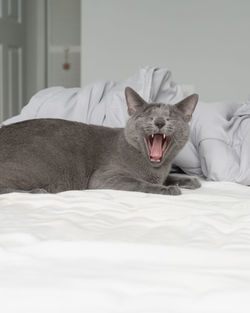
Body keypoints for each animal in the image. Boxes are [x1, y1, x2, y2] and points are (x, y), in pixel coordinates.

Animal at [0, 86, 200, 194]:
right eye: (147, 116)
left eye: (170, 118)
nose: (159, 122)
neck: (156, 168)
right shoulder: (104, 177)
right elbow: (140, 183)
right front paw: (168, 189)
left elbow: (168, 177)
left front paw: (191, 181)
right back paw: (37, 192)